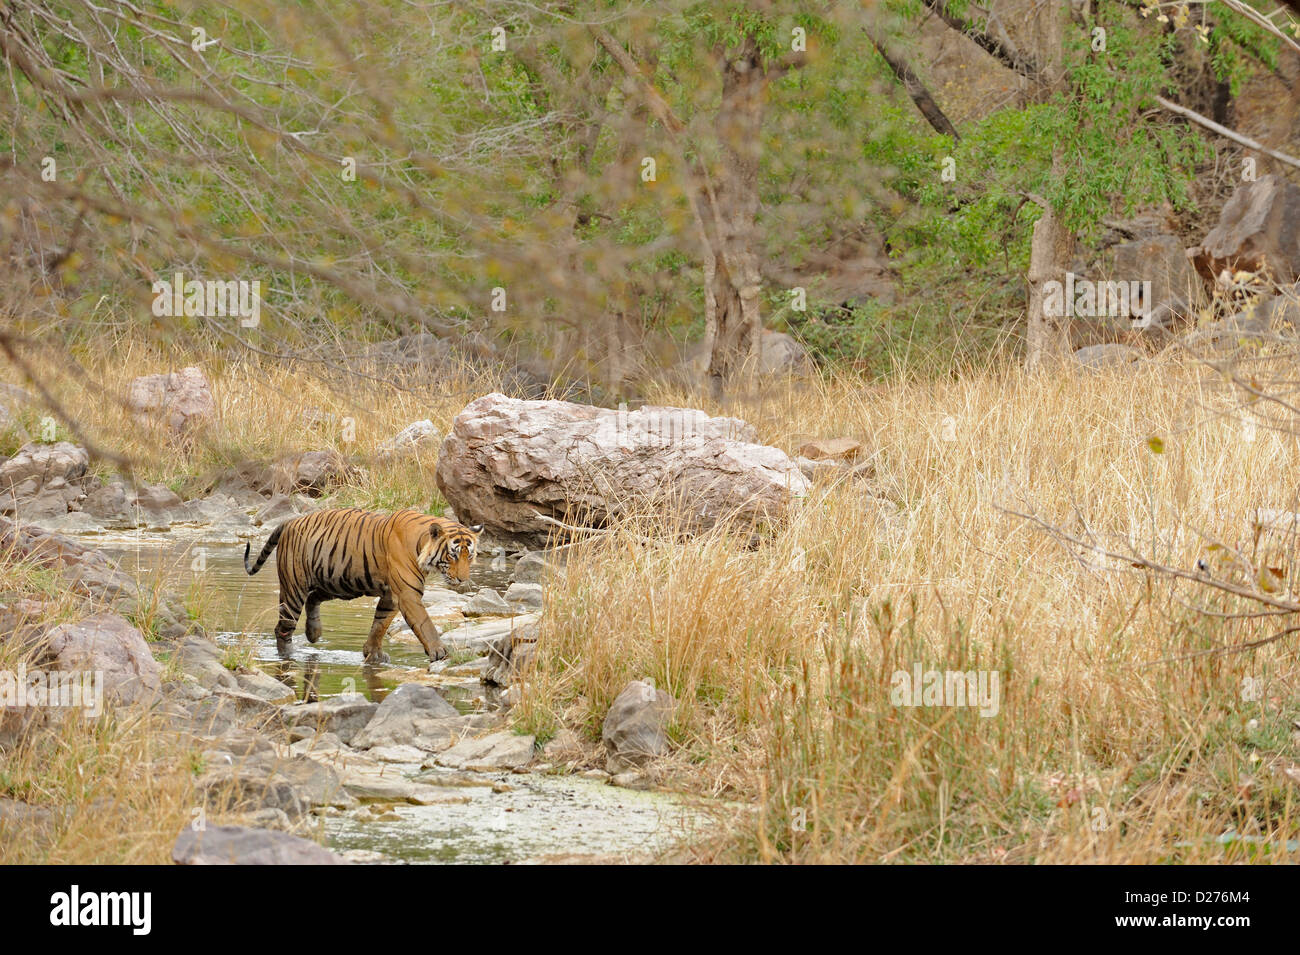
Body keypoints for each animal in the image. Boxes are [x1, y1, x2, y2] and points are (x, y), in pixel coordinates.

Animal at [244, 509, 483, 665]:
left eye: (469, 556)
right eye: (452, 556)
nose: (462, 580)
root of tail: (291, 521)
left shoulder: (390, 595)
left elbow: (380, 624)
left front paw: (373, 653)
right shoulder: (407, 594)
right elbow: (425, 624)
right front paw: (439, 651)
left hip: (337, 583)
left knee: (313, 598)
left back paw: (314, 633)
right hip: (295, 588)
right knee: (283, 628)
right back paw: (288, 655)